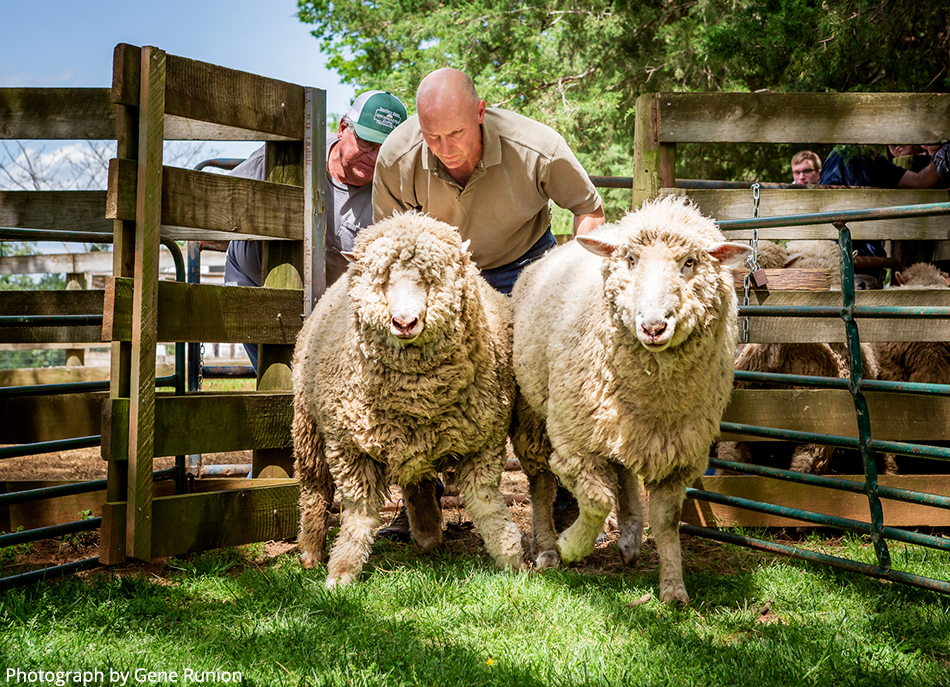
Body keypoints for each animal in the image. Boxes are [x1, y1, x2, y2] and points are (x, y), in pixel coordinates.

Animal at [294, 212, 524, 588]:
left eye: (431, 278)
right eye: (383, 280)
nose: (404, 322)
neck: (417, 394)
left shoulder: (484, 440)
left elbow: (486, 501)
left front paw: (511, 560)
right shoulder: (350, 447)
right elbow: (359, 512)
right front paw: (342, 572)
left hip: (412, 442)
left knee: (417, 483)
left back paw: (428, 535)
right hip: (308, 424)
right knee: (314, 488)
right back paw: (311, 551)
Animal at [510, 194, 756, 600]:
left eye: (690, 262)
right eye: (630, 259)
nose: (653, 327)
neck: (655, 397)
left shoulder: (678, 451)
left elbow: (667, 519)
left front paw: (673, 587)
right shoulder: (575, 443)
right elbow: (596, 501)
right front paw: (571, 545)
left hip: (621, 426)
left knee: (623, 471)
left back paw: (629, 539)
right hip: (534, 410)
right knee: (542, 481)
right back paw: (546, 548)